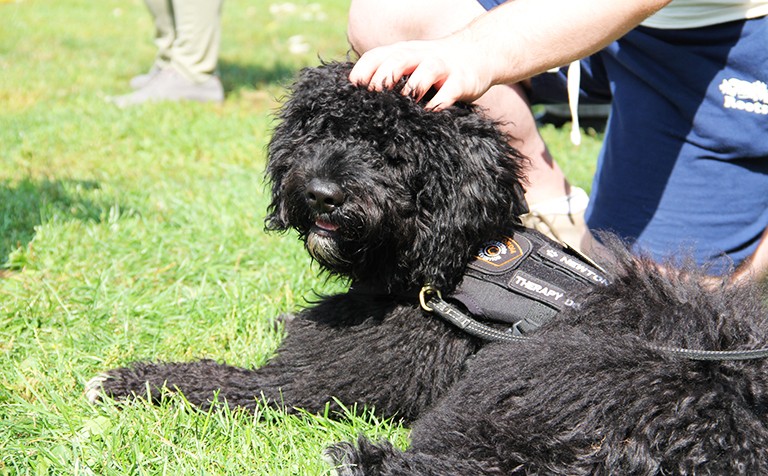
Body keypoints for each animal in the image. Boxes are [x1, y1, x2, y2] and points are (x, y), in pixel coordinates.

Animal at [87, 61, 768, 474]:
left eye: (396, 153)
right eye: (323, 129)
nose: (324, 194)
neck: (439, 265)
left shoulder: (311, 383)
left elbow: (220, 382)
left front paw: (130, 380)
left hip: (515, 387)